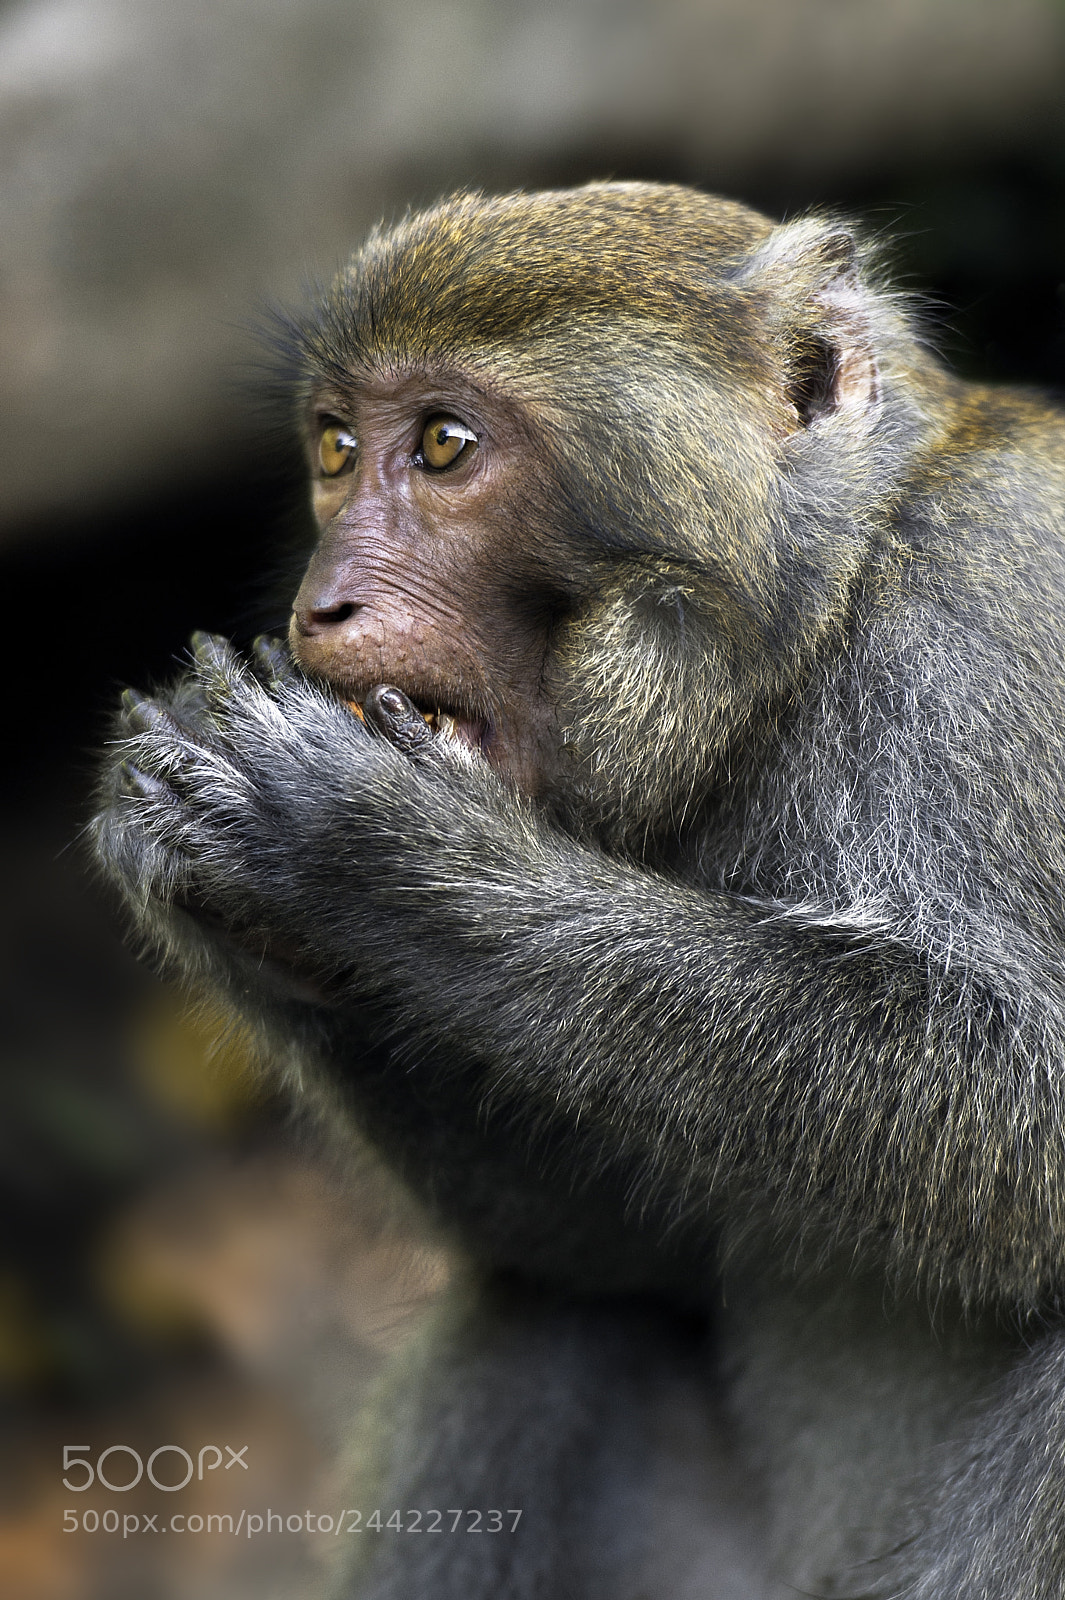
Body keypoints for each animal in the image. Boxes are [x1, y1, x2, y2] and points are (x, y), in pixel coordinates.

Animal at [93, 181, 1065, 1599]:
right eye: (335, 448)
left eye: (443, 446)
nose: (323, 604)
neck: (823, 620)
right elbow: (612, 1255)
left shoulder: (991, 625)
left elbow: (1027, 1114)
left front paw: (372, 849)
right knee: (553, 1321)